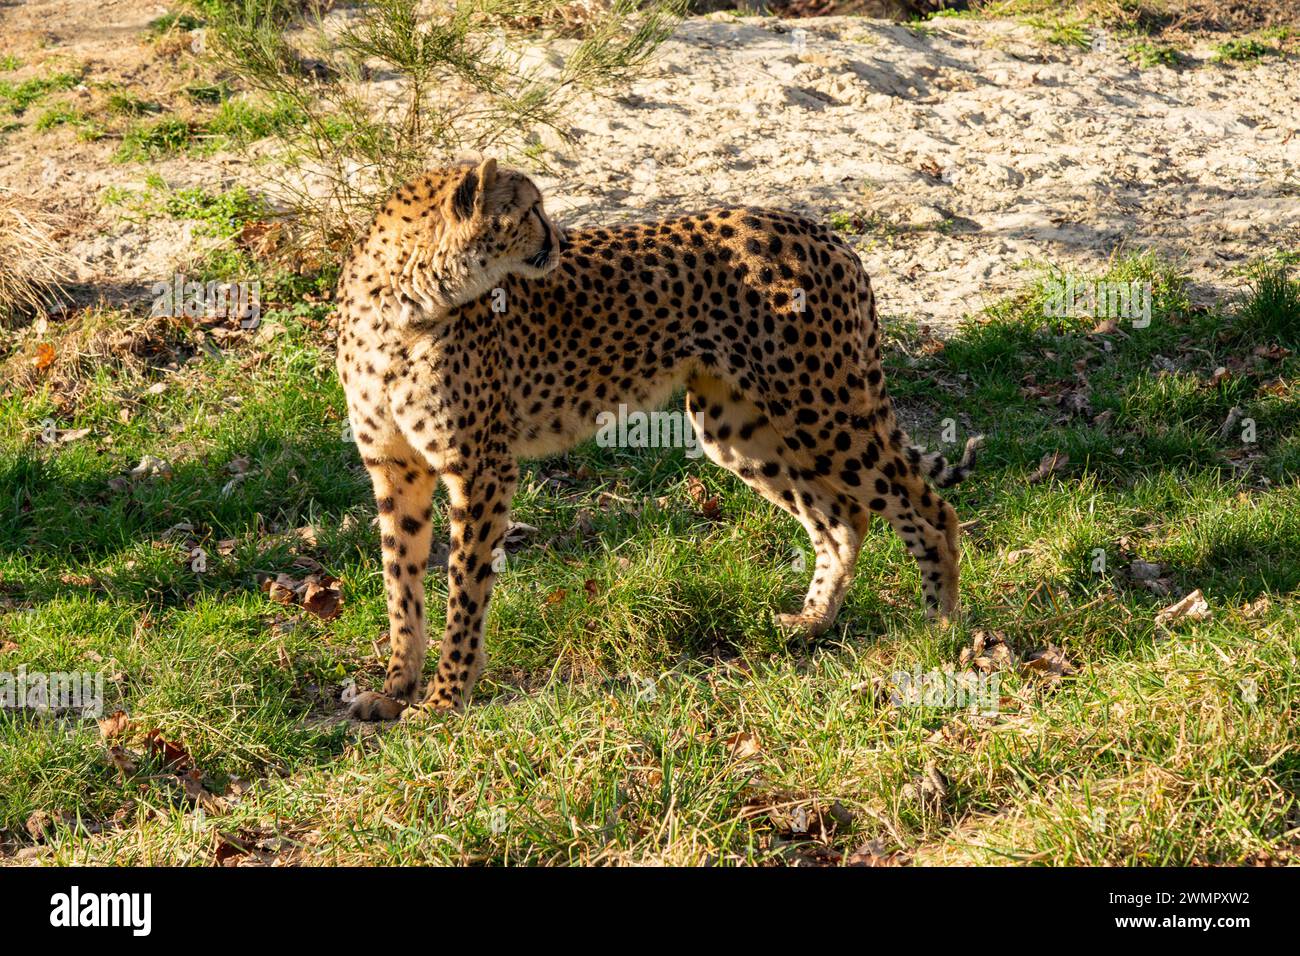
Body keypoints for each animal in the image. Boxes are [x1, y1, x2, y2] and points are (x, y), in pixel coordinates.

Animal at [335, 158, 980, 720]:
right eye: (532, 209)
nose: (560, 242)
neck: (405, 301)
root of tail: (818, 229)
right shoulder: (395, 469)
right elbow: (401, 586)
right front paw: (395, 689)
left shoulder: (480, 467)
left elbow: (464, 589)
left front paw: (445, 698)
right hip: (736, 426)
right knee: (843, 517)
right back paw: (813, 622)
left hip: (823, 410)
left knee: (927, 508)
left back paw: (940, 628)